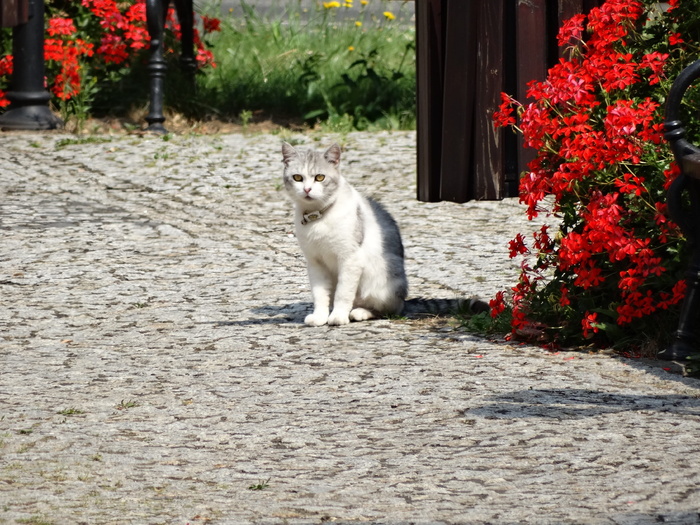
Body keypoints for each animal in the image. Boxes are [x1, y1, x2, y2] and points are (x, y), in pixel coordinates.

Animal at [282, 141, 408, 326]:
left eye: (320, 177)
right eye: (298, 177)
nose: (307, 189)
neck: (318, 217)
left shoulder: (350, 259)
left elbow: (343, 292)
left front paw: (338, 316)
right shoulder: (315, 262)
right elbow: (319, 294)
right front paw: (320, 316)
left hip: (382, 279)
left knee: (388, 309)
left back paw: (360, 312)